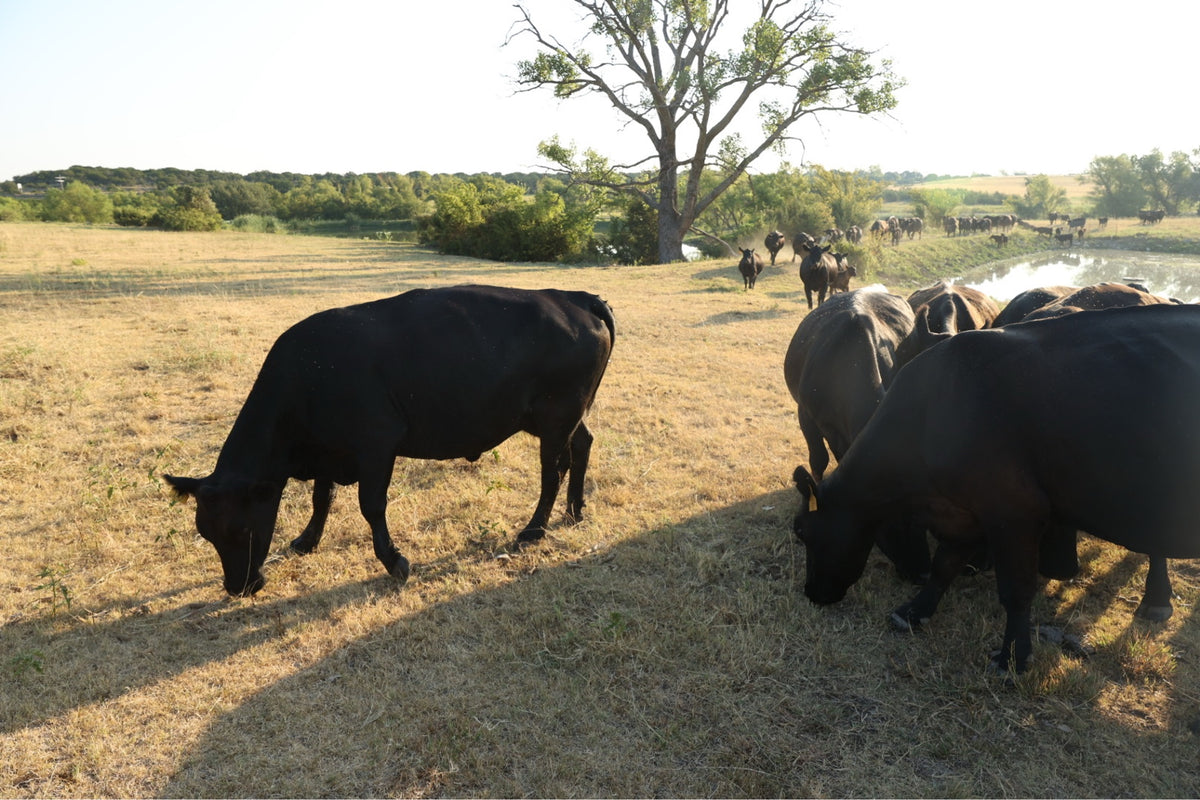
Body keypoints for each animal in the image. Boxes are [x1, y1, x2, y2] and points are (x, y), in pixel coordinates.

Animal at [164, 285, 616, 596]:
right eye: (207, 533)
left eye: (241, 530)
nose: (238, 587)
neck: (309, 374)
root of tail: (572, 297)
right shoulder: (329, 450)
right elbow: (321, 498)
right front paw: (307, 540)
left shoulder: (377, 444)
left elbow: (371, 505)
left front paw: (394, 560)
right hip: (570, 416)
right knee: (583, 446)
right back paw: (575, 510)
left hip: (556, 419)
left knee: (552, 471)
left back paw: (535, 528)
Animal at [794, 304, 1200, 673]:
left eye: (802, 533)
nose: (812, 593)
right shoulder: (964, 510)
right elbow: (945, 565)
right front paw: (913, 612)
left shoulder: (1014, 512)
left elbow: (1016, 590)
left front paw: (1013, 658)